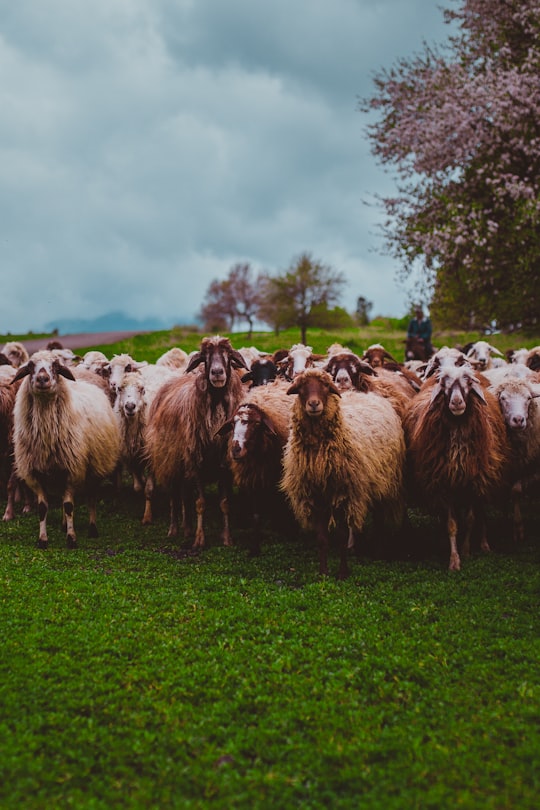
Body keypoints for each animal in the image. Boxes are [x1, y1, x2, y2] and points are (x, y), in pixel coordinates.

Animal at [10, 348, 121, 548]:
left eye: (55, 366)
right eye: (30, 366)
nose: (42, 379)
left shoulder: (72, 469)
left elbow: (69, 506)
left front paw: (71, 539)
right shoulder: (36, 473)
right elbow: (42, 508)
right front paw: (43, 539)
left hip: (94, 469)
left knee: (91, 498)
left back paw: (92, 529)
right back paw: (63, 525)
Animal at [143, 332, 249, 548]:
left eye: (228, 355)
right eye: (205, 357)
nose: (217, 373)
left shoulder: (223, 465)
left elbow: (225, 504)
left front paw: (227, 538)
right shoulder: (197, 462)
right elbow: (200, 503)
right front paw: (200, 539)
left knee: (184, 496)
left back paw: (187, 528)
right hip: (172, 461)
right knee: (175, 497)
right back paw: (175, 529)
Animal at [217, 380, 296, 556]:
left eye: (257, 423)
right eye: (232, 424)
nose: (235, 449)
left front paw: (286, 531)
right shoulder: (252, 479)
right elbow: (255, 514)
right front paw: (254, 548)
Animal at [280, 370, 402, 576]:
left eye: (326, 387)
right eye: (301, 387)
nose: (314, 404)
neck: (319, 456)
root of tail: (367, 394)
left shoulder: (344, 494)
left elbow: (342, 537)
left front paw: (343, 573)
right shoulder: (317, 497)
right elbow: (322, 539)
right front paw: (323, 572)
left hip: (383, 481)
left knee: (379, 518)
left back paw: (379, 551)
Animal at [404, 362, 510, 572]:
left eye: (468, 383)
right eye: (444, 384)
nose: (457, 403)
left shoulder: (473, 482)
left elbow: (469, 520)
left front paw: (466, 549)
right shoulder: (443, 485)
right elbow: (451, 524)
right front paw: (454, 559)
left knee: (481, 512)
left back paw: (484, 543)